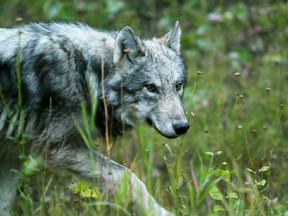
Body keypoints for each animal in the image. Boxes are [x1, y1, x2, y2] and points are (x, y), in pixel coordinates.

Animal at [0, 21, 190, 215]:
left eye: (177, 86)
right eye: (151, 88)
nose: (182, 127)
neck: (85, 73)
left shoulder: (10, 156)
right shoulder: (62, 148)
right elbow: (128, 176)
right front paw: (159, 212)